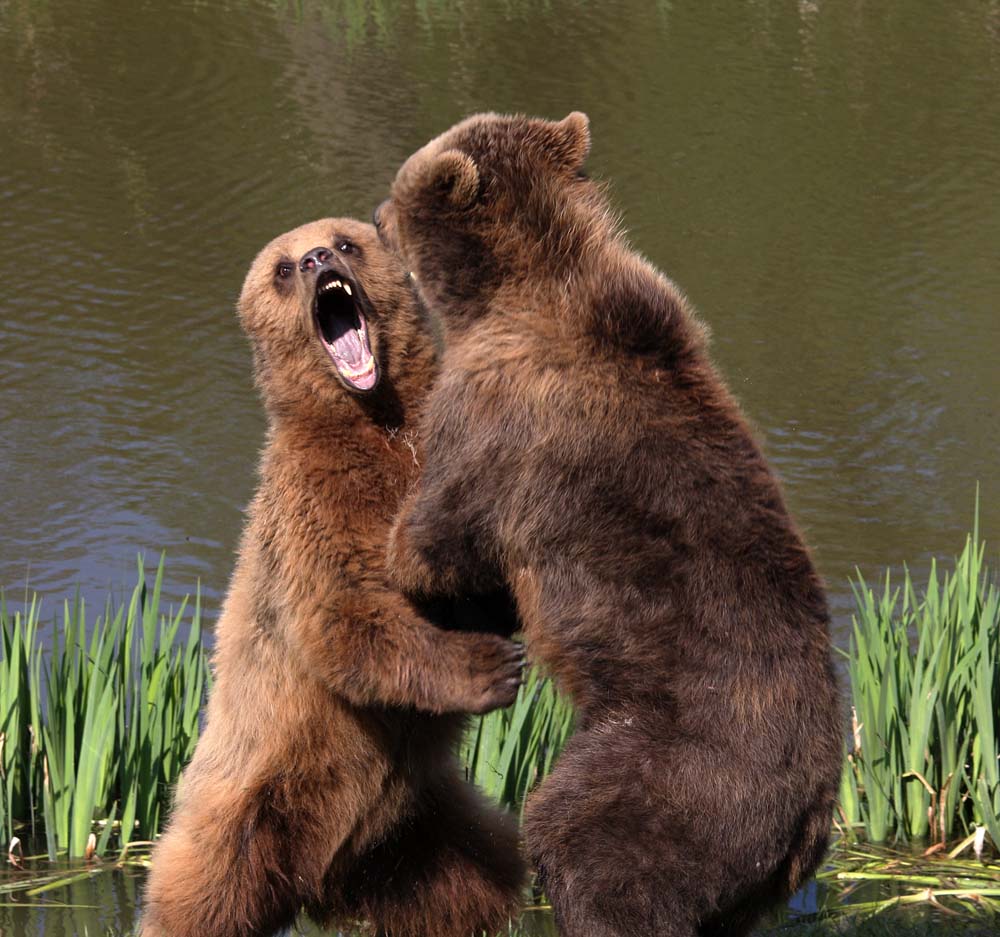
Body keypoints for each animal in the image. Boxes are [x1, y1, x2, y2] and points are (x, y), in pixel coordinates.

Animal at [145, 218, 532, 936]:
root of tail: (320, 883)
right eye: (281, 267)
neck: (379, 418)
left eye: (346, 242)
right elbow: (343, 618)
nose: (317, 257)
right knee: (198, 900)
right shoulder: (314, 507)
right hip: (242, 806)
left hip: (425, 838)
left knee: (477, 881)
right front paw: (491, 666)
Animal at [376, 111, 844, 936]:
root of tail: (814, 808)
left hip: (674, 773)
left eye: (403, 187)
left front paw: (400, 553)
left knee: (584, 842)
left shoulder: (497, 415)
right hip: (744, 867)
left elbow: (440, 534)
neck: (523, 285)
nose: (373, 214)